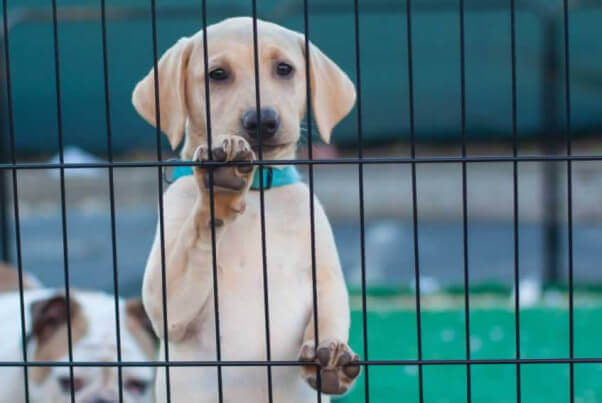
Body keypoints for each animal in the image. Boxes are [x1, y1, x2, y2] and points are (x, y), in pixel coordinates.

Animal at [134, 16, 358, 403]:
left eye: (284, 69)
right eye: (217, 74)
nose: (262, 121)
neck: (256, 194)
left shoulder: (325, 274)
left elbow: (331, 312)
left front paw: (329, 357)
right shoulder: (164, 303)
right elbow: (194, 241)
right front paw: (215, 193)